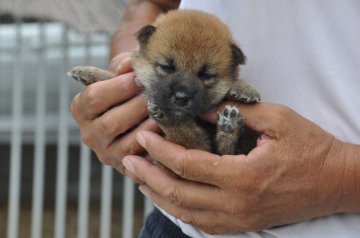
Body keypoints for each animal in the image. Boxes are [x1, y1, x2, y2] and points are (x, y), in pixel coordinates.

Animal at [68, 9, 258, 156]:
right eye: (167, 67)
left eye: (205, 75)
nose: (181, 98)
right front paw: (90, 73)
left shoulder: (201, 151)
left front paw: (243, 88)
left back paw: (228, 125)